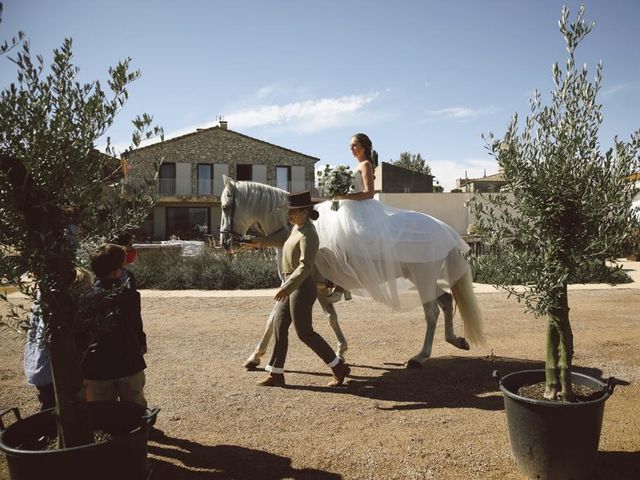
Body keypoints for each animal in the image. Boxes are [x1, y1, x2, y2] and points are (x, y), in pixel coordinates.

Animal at [221, 176, 484, 368]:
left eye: (225, 206)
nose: (225, 243)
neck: (292, 230)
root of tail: (444, 229)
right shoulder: (313, 287)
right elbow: (329, 316)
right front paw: (341, 349)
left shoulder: (296, 284)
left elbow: (275, 317)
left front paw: (255, 355)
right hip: (420, 278)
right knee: (446, 301)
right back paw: (455, 340)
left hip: (423, 277)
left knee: (432, 313)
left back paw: (420, 356)